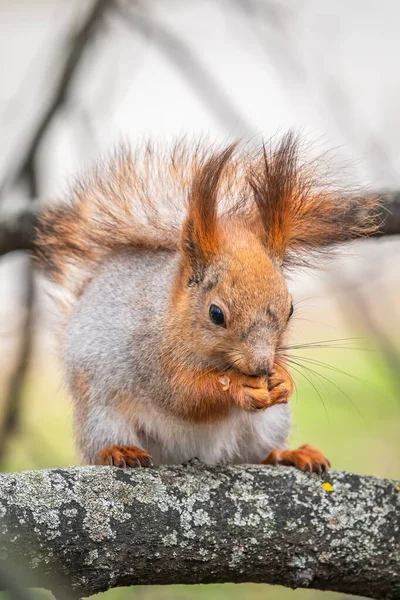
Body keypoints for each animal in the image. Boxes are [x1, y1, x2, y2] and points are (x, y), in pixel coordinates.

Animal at [33, 132, 376, 474]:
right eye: (215, 314)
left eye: (290, 309)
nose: (262, 366)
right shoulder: (150, 359)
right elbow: (185, 396)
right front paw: (236, 387)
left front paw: (283, 380)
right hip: (100, 415)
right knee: (102, 444)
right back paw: (119, 451)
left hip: (268, 424)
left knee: (256, 455)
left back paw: (291, 454)